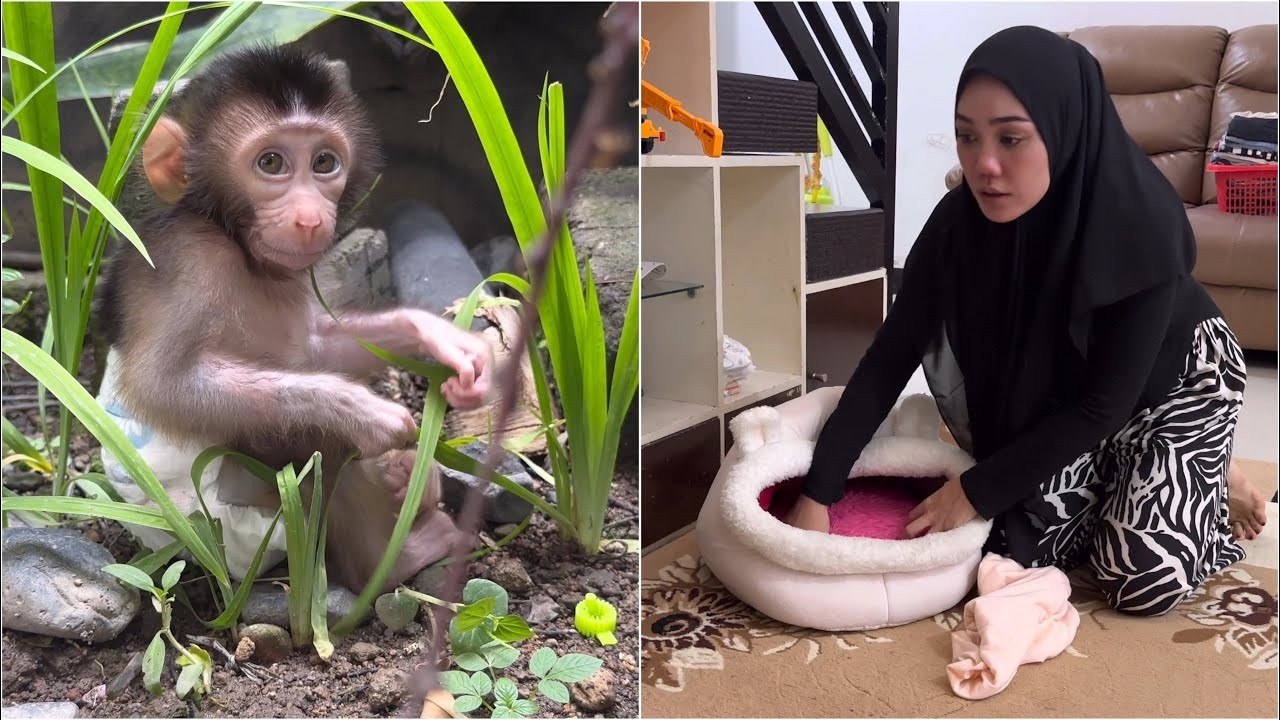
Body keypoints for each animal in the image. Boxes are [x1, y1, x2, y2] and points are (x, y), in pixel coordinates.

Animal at [94, 44, 492, 593]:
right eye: (271, 163)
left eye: (324, 163)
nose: (309, 217)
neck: (234, 242)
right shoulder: (190, 260)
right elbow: (163, 383)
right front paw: (361, 412)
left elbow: (317, 345)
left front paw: (439, 338)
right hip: (225, 527)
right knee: (318, 448)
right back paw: (398, 553)